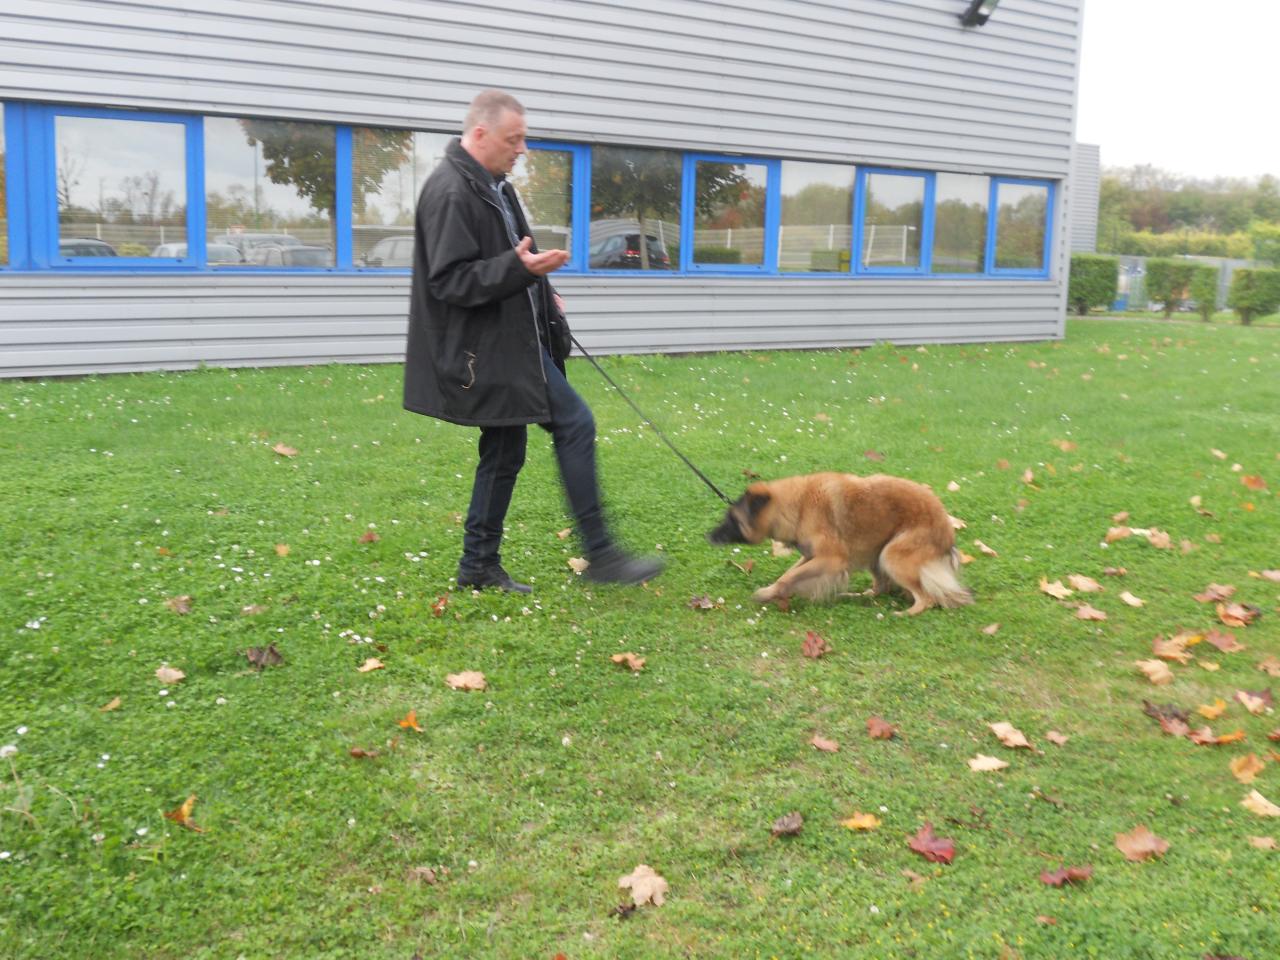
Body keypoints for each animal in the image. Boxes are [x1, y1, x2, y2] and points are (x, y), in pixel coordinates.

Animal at [711, 473, 967, 616]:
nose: (709, 536)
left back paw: (906, 613)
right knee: (881, 587)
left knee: (927, 597)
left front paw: (766, 593)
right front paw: (774, 591)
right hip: (874, 551)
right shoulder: (811, 556)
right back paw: (857, 595)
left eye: (732, 520)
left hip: (891, 554)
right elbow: (789, 574)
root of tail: (948, 533)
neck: (798, 506)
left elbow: (788, 577)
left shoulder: (831, 559)